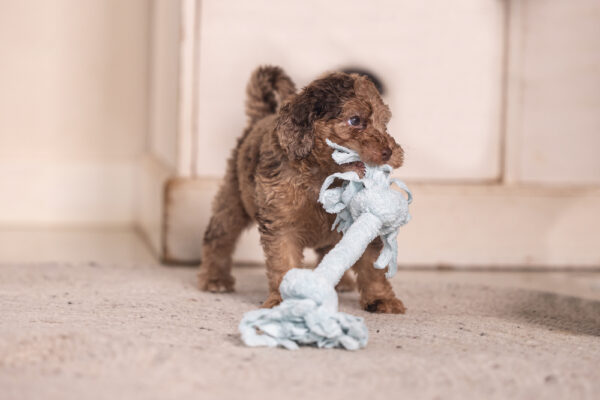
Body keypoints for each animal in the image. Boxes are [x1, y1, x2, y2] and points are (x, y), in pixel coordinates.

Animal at [199, 65, 406, 314]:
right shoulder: (280, 223)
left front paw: (380, 298)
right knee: (219, 236)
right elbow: (284, 262)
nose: (389, 152)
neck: (322, 175)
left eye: (384, 124)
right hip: (233, 197)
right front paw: (283, 300)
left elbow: (371, 264)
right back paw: (215, 278)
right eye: (355, 120)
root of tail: (260, 118)